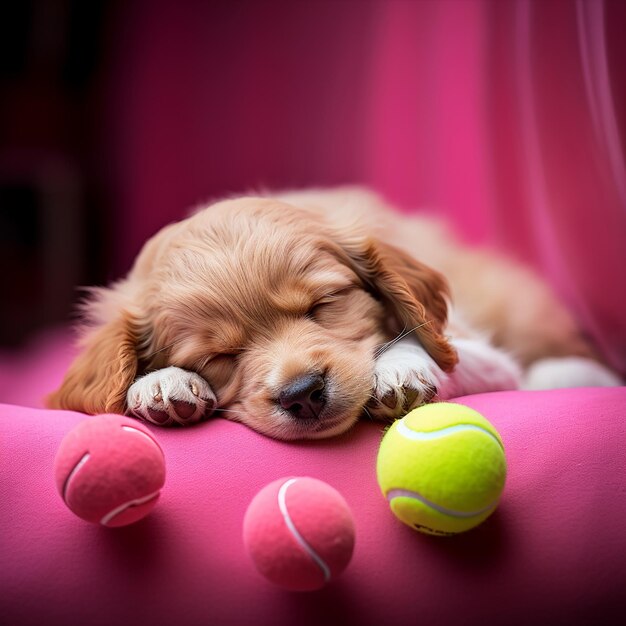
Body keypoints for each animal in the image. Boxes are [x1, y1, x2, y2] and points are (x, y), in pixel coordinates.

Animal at [45, 188, 620, 436]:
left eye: (324, 306)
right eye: (216, 357)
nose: (302, 394)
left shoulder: (478, 350)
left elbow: (429, 345)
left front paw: (400, 370)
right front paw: (162, 384)